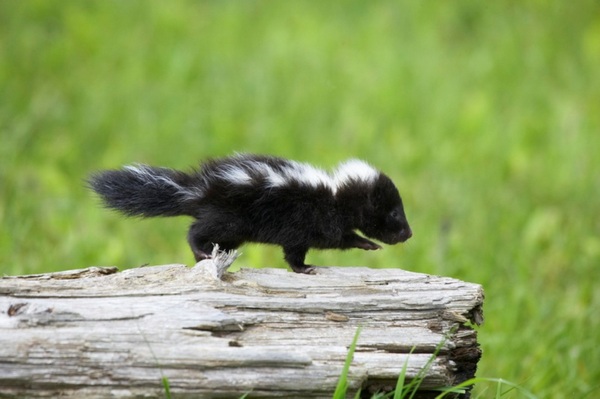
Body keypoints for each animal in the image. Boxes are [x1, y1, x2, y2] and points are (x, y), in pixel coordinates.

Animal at [86, 154, 410, 276]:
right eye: (394, 212)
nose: (408, 233)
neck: (334, 194)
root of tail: (199, 190)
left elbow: (297, 250)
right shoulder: (312, 219)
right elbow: (326, 241)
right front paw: (366, 244)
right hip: (230, 217)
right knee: (195, 231)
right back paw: (201, 253)